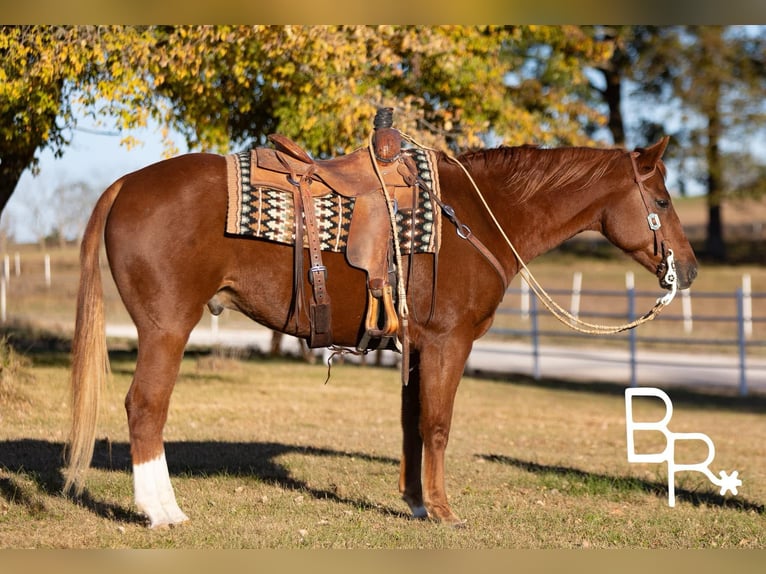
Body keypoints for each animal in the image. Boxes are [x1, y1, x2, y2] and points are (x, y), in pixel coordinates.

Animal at [66, 135, 700, 528]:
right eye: (663, 198)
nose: (689, 269)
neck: (476, 216)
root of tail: (125, 185)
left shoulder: (416, 346)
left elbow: (412, 424)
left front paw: (416, 504)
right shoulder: (448, 342)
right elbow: (439, 425)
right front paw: (444, 512)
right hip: (167, 327)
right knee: (146, 407)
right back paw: (162, 511)